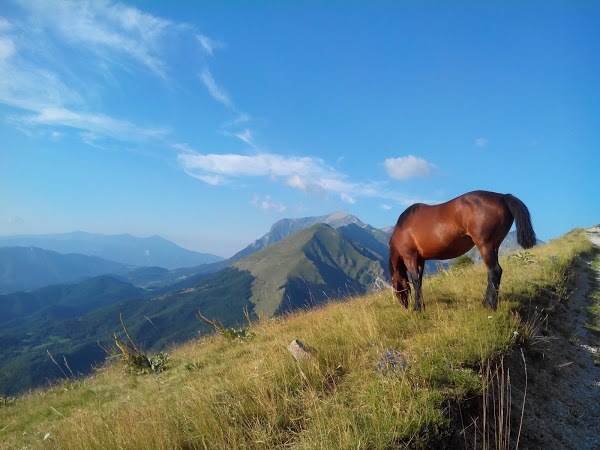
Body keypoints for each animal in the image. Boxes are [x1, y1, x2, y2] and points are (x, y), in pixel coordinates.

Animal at [390, 189, 536, 310]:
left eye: (395, 288)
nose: (404, 306)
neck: (402, 228)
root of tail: (503, 197)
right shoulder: (421, 260)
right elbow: (419, 282)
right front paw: (421, 305)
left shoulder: (410, 257)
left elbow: (415, 281)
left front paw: (417, 308)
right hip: (494, 246)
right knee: (492, 272)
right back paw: (486, 302)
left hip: (485, 245)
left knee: (495, 271)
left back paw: (490, 305)